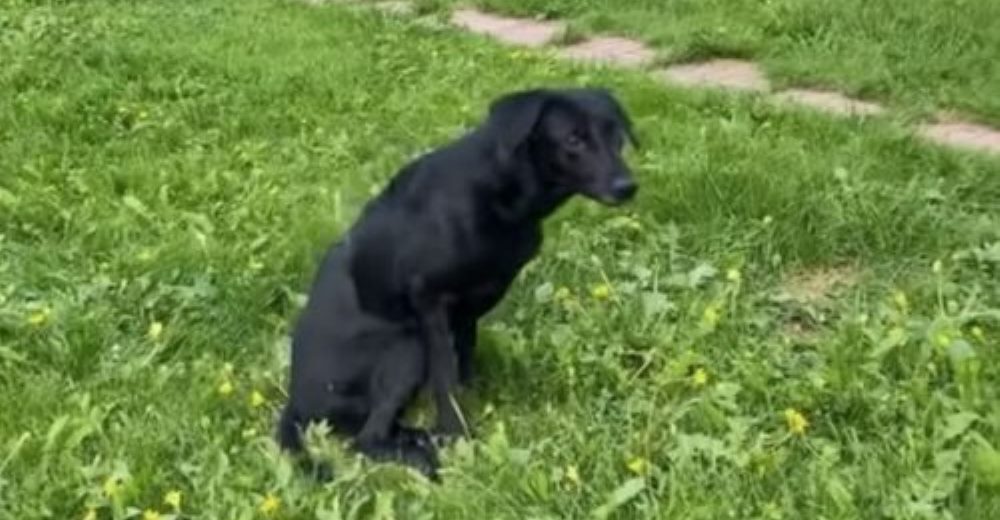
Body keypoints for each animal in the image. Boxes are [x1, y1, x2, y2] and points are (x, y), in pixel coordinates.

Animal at [280, 86, 640, 480]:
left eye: (617, 136)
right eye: (574, 139)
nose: (628, 187)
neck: (500, 191)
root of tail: (295, 401)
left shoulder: (467, 311)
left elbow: (463, 370)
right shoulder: (430, 302)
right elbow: (446, 382)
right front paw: (459, 438)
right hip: (406, 345)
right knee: (367, 438)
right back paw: (423, 458)